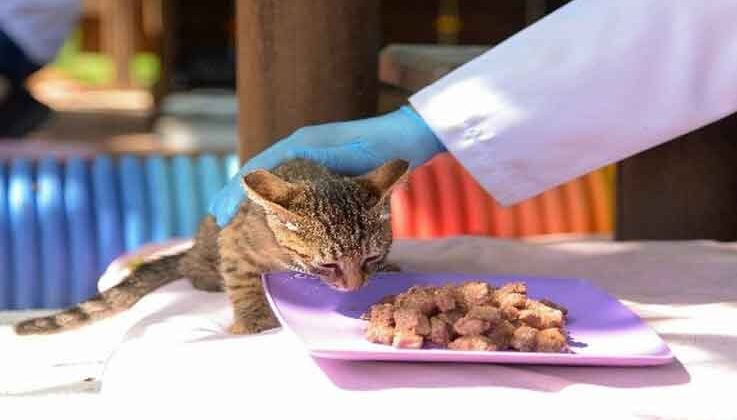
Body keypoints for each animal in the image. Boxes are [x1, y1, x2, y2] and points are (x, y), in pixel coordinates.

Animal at [12, 159, 408, 336]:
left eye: (371, 257)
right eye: (328, 265)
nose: (354, 286)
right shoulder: (233, 242)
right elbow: (243, 280)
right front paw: (253, 317)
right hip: (207, 246)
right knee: (193, 270)